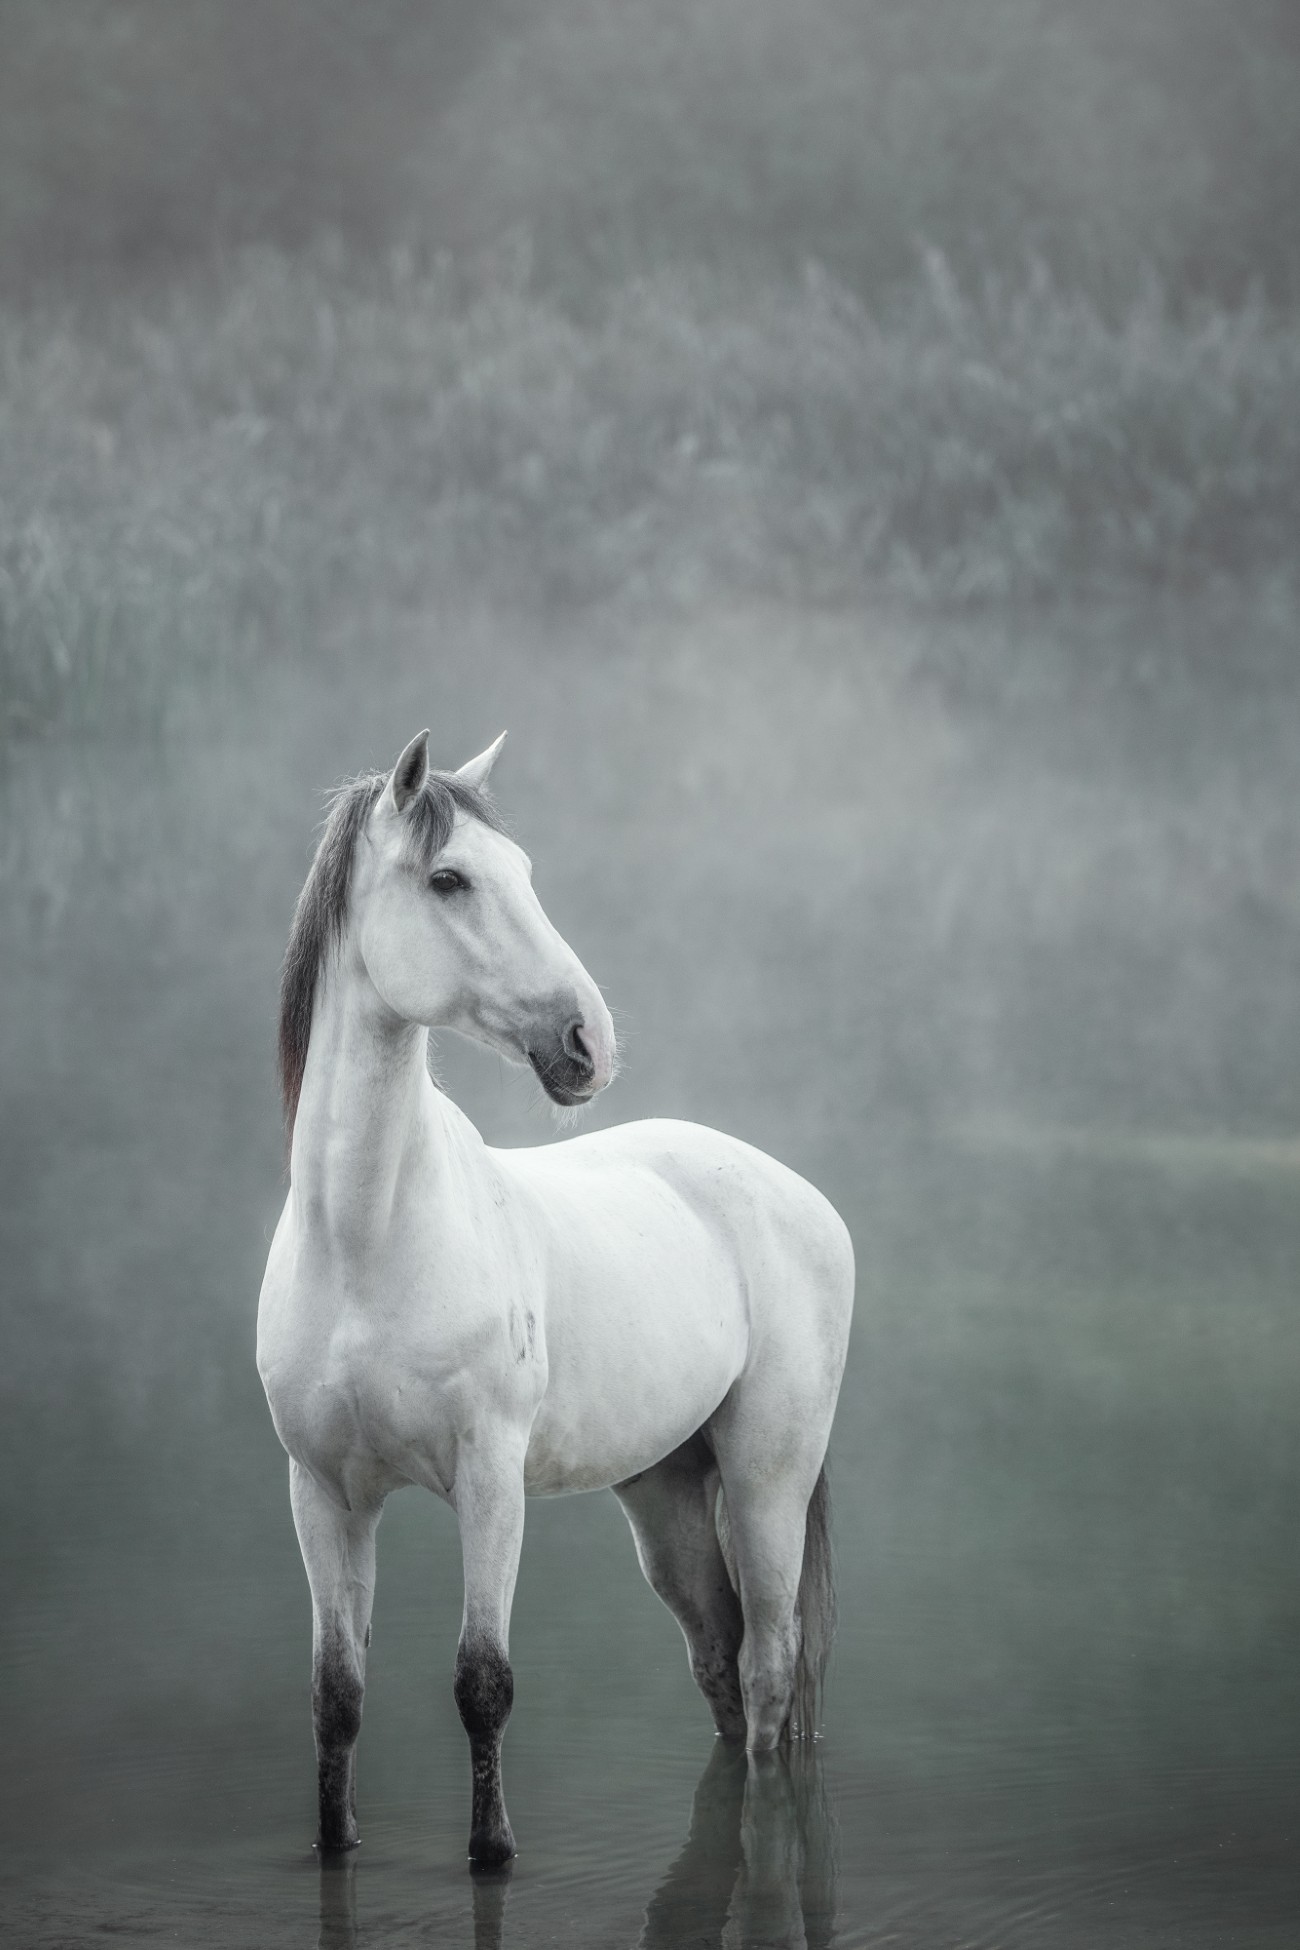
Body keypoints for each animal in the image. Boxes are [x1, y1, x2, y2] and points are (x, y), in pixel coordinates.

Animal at [256, 730, 855, 1869]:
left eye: (523, 872)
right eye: (449, 878)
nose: (587, 1042)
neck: (365, 1243)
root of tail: (802, 1200)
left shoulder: (491, 1481)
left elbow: (482, 1683)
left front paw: (493, 1852)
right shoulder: (322, 1493)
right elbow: (333, 1694)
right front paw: (333, 1841)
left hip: (768, 1481)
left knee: (767, 1670)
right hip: (664, 1496)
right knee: (718, 1658)